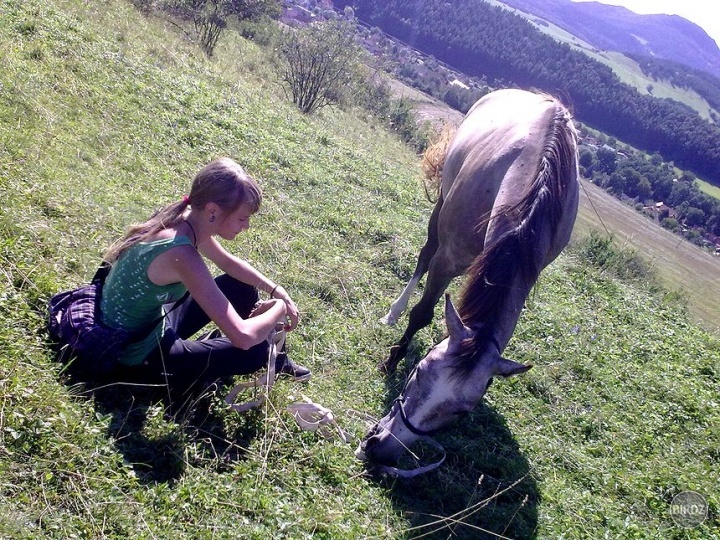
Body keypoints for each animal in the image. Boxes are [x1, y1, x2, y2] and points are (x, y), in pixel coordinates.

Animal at [360, 88, 580, 468]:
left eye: (460, 414)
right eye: (419, 372)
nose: (382, 448)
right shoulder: (449, 259)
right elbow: (423, 312)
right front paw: (391, 360)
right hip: (441, 209)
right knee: (424, 256)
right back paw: (393, 312)